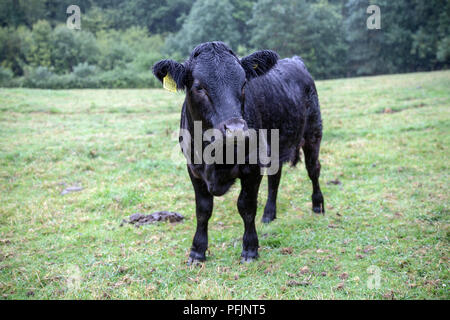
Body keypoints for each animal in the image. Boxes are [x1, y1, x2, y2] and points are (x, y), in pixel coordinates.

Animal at [154, 41, 324, 264]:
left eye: (243, 84)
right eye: (199, 87)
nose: (235, 129)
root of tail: (295, 60)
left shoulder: (252, 167)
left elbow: (246, 206)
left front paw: (250, 249)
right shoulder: (194, 169)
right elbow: (203, 210)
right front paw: (197, 251)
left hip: (313, 132)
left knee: (313, 170)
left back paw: (318, 206)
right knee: (275, 179)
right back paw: (269, 214)